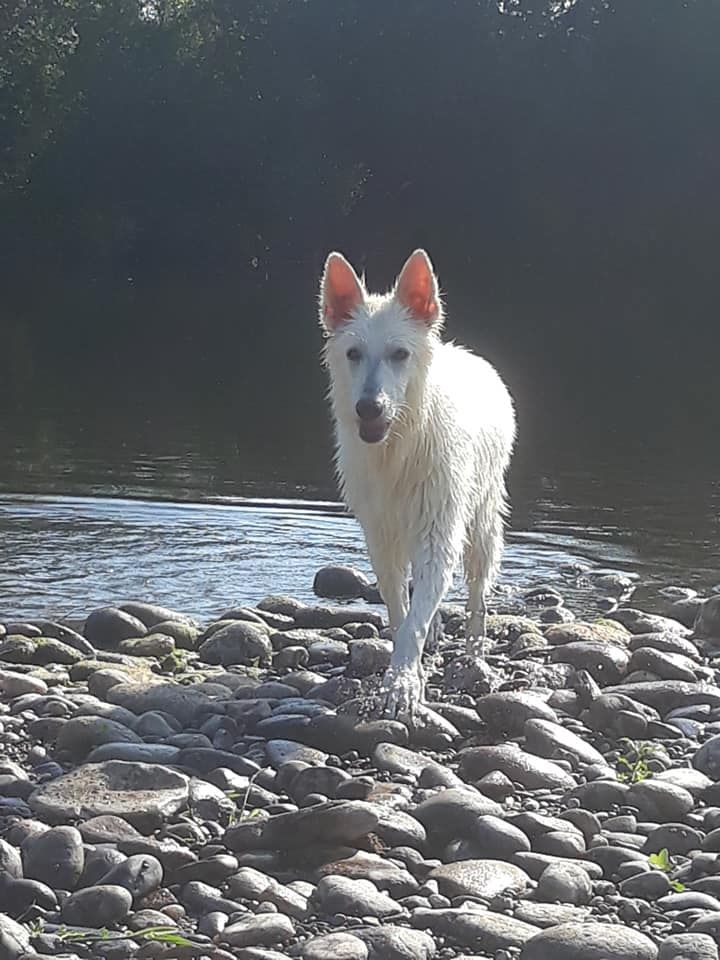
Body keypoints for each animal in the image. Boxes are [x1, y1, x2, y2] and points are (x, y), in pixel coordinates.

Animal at [319, 249, 516, 720]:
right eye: (353, 353)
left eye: (399, 354)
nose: (368, 408)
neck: (398, 447)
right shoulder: (381, 535)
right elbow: (400, 607)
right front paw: (409, 663)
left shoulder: (437, 528)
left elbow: (416, 616)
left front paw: (402, 685)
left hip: (481, 522)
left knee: (478, 593)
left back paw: (474, 653)